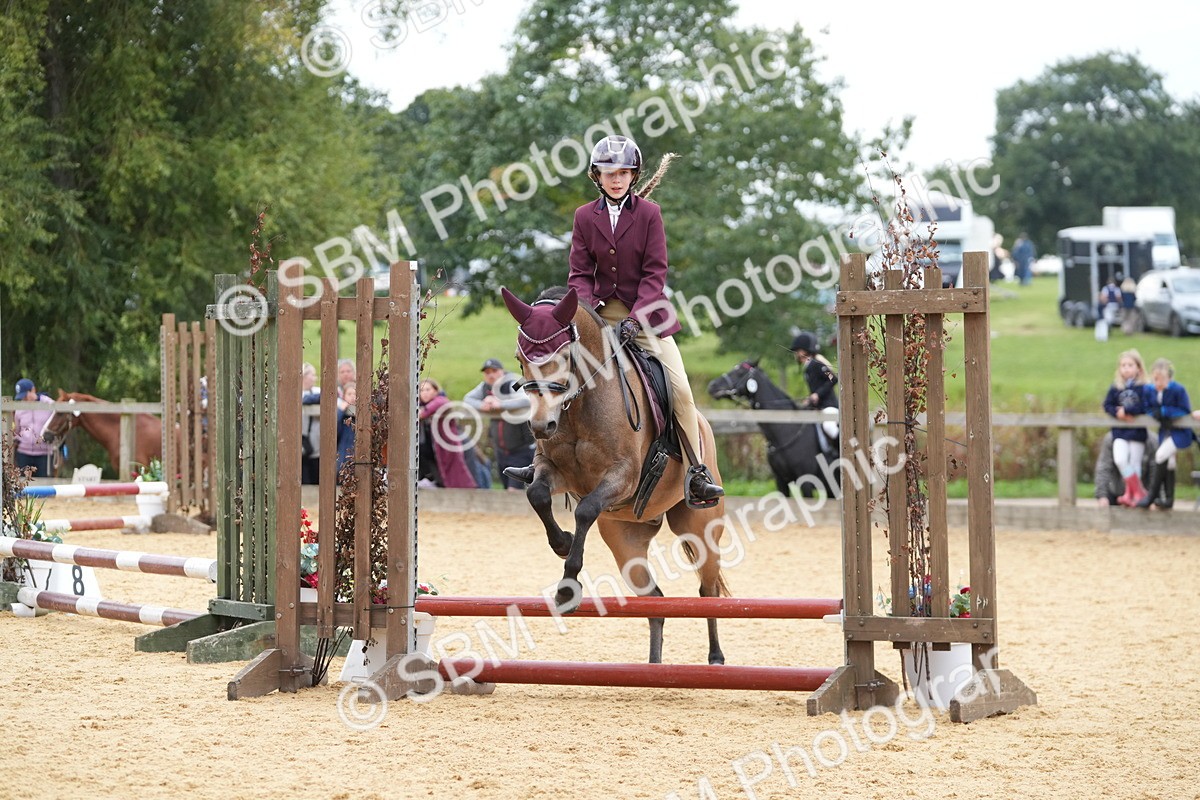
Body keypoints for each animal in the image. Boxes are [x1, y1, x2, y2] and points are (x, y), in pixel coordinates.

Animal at [500, 285, 730, 665]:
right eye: (520, 358)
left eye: (566, 356)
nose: (541, 426)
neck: (580, 405)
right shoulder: (555, 470)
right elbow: (538, 495)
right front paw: (562, 544)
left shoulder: (623, 477)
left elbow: (585, 510)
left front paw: (567, 589)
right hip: (626, 538)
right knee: (654, 601)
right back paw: (654, 668)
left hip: (700, 527)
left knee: (708, 588)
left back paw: (715, 657)